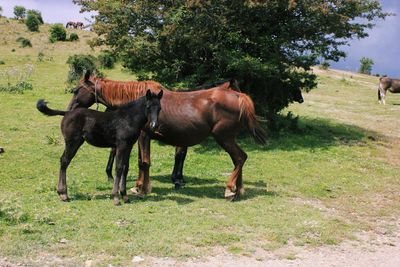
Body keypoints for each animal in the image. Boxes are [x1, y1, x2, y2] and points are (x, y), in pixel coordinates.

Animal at [66, 73, 266, 201]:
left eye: (76, 90)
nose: (70, 110)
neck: (140, 101)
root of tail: (238, 97)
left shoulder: (144, 136)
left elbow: (144, 162)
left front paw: (141, 189)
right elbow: (141, 161)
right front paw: (141, 186)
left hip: (224, 138)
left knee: (239, 158)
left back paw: (230, 190)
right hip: (228, 139)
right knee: (238, 159)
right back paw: (237, 190)